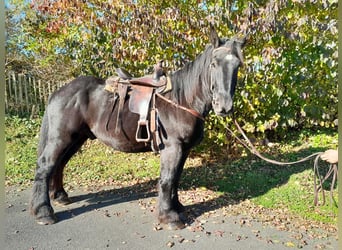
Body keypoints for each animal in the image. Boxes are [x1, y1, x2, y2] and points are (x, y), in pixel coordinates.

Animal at [30, 26, 246, 229]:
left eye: (237, 66)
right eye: (213, 63)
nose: (224, 106)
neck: (182, 99)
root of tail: (59, 91)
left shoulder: (183, 149)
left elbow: (175, 178)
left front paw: (177, 208)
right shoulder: (172, 148)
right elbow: (167, 180)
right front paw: (169, 217)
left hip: (76, 139)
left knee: (59, 164)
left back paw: (60, 196)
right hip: (61, 138)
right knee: (45, 166)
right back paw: (43, 212)